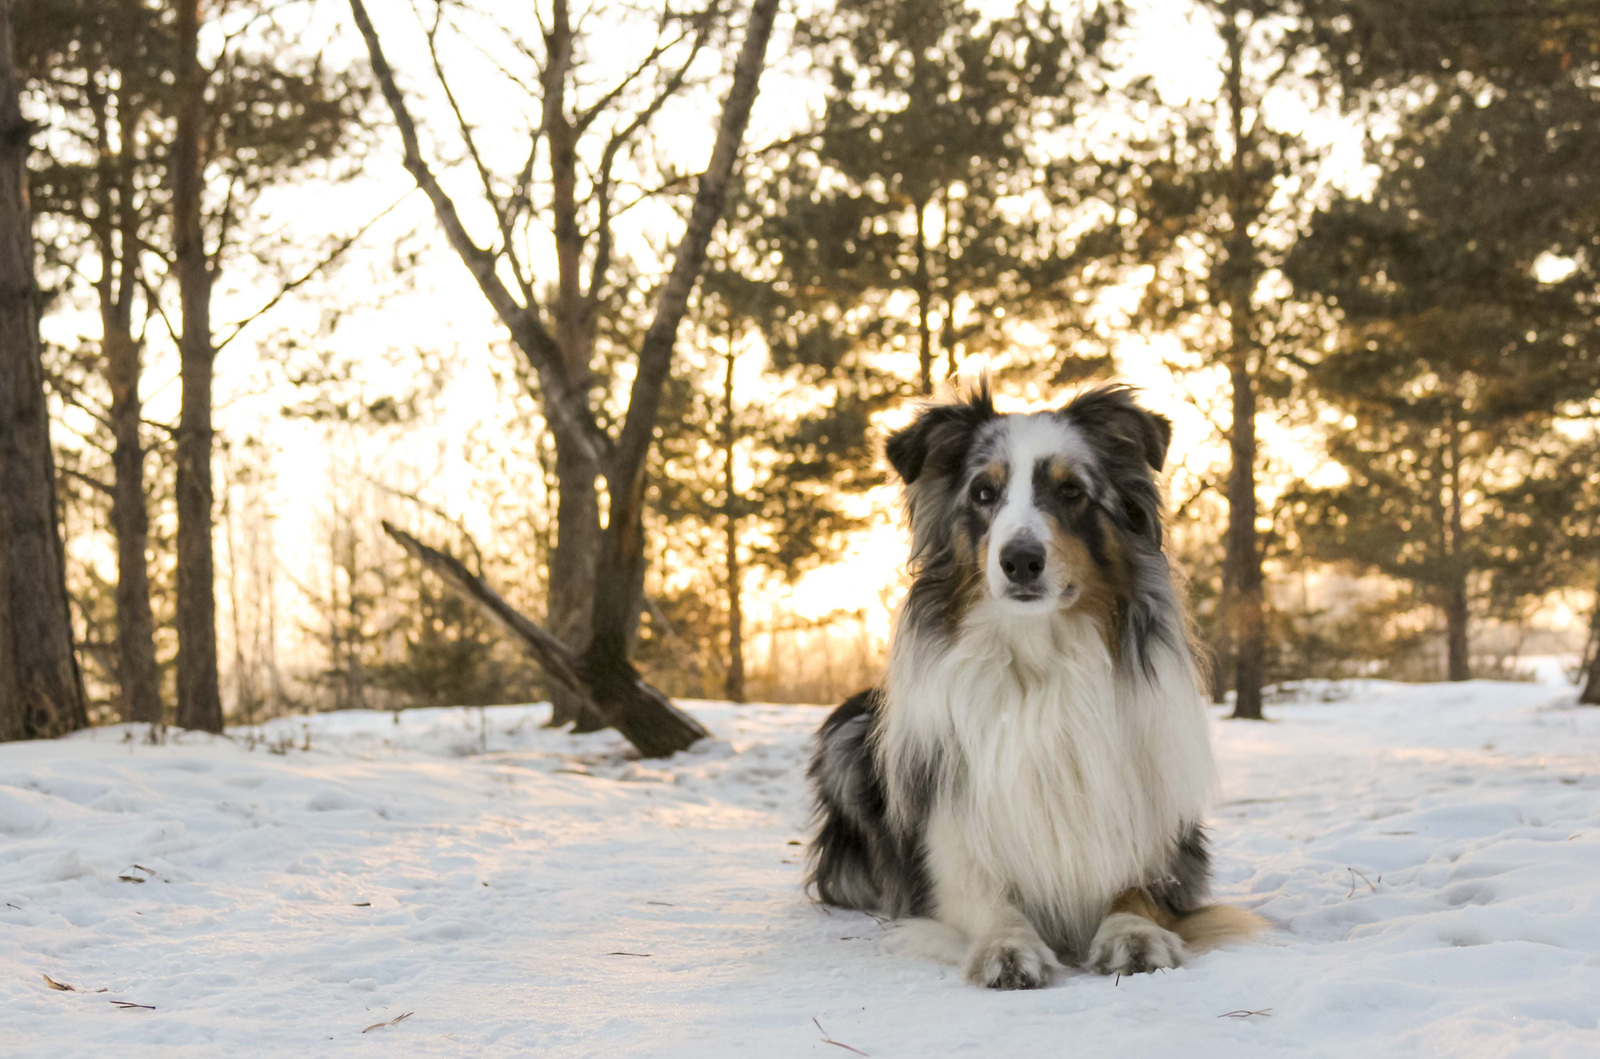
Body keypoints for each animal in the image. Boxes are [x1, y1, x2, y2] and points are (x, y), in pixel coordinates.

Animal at [812, 383, 1260, 998]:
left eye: (1071, 491)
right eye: (984, 492)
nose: (1020, 560)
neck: (1040, 662)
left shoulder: (1159, 836)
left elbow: (1135, 890)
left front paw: (1136, 935)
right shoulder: (949, 850)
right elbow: (988, 896)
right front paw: (1006, 947)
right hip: (846, 739)